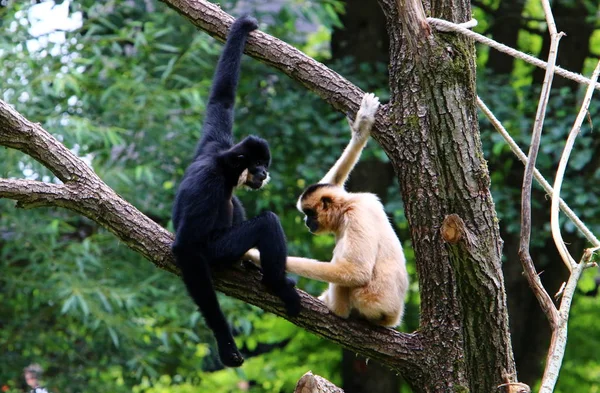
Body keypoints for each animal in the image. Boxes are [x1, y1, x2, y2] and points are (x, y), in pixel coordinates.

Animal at [171, 14, 302, 364]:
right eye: (257, 165)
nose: (264, 173)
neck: (221, 164)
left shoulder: (213, 142)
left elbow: (222, 99)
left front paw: (242, 27)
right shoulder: (208, 184)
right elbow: (186, 249)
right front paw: (225, 342)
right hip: (219, 251)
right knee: (266, 222)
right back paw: (275, 283)